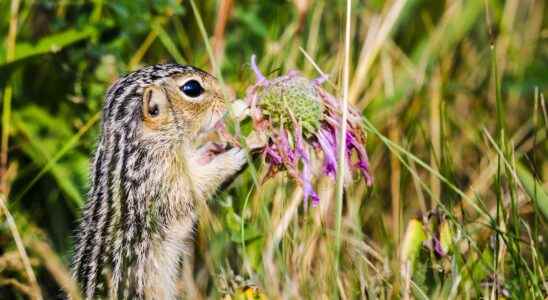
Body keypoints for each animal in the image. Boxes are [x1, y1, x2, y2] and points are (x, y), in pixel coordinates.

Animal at [72, 64, 246, 298]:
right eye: (192, 88)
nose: (231, 93)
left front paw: (211, 150)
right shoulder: (159, 182)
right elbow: (192, 190)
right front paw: (231, 158)